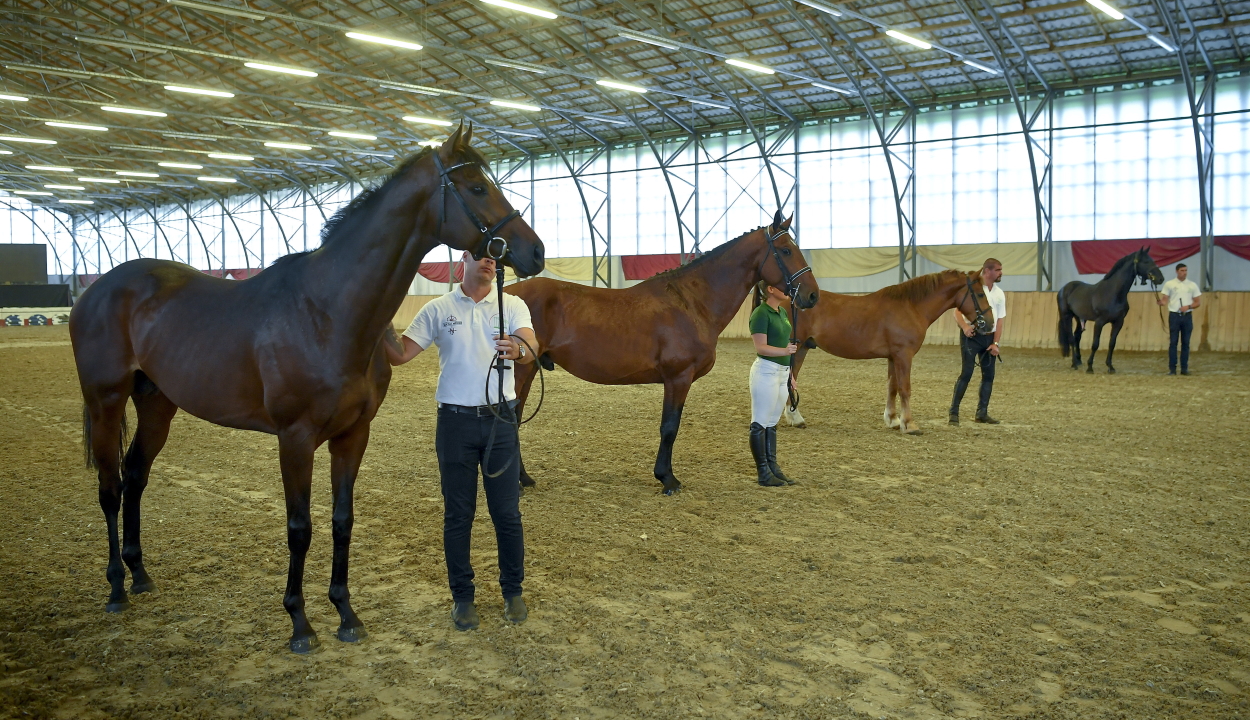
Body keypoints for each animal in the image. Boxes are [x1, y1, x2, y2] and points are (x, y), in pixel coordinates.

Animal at [70, 126, 545, 655]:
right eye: (478, 188)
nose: (536, 251)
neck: (326, 311)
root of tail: (98, 289)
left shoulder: (352, 436)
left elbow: (342, 521)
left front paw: (346, 614)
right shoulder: (294, 440)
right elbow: (300, 528)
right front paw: (300, 624)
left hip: (157, 404)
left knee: (135, 476)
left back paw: (140, 574)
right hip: (106, 401)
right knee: (110, 488)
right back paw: (116, 588)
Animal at [507, 213, 820, 495]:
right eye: (786, 250)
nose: (813, 295)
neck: (692, 303)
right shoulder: (678, 377)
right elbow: (670, 428)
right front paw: (667, 479)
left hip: (529, 369)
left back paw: (524, 479)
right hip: (521, 371)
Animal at [780, 270, 995, 435]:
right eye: (980, 294)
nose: (990, 324)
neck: (911, 307)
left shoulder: (893, 357)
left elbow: (892, 388)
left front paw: (893, 420)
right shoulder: (904, 355)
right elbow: (905, 389)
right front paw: (909, 424)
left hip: (801, 349)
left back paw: (795, 418)